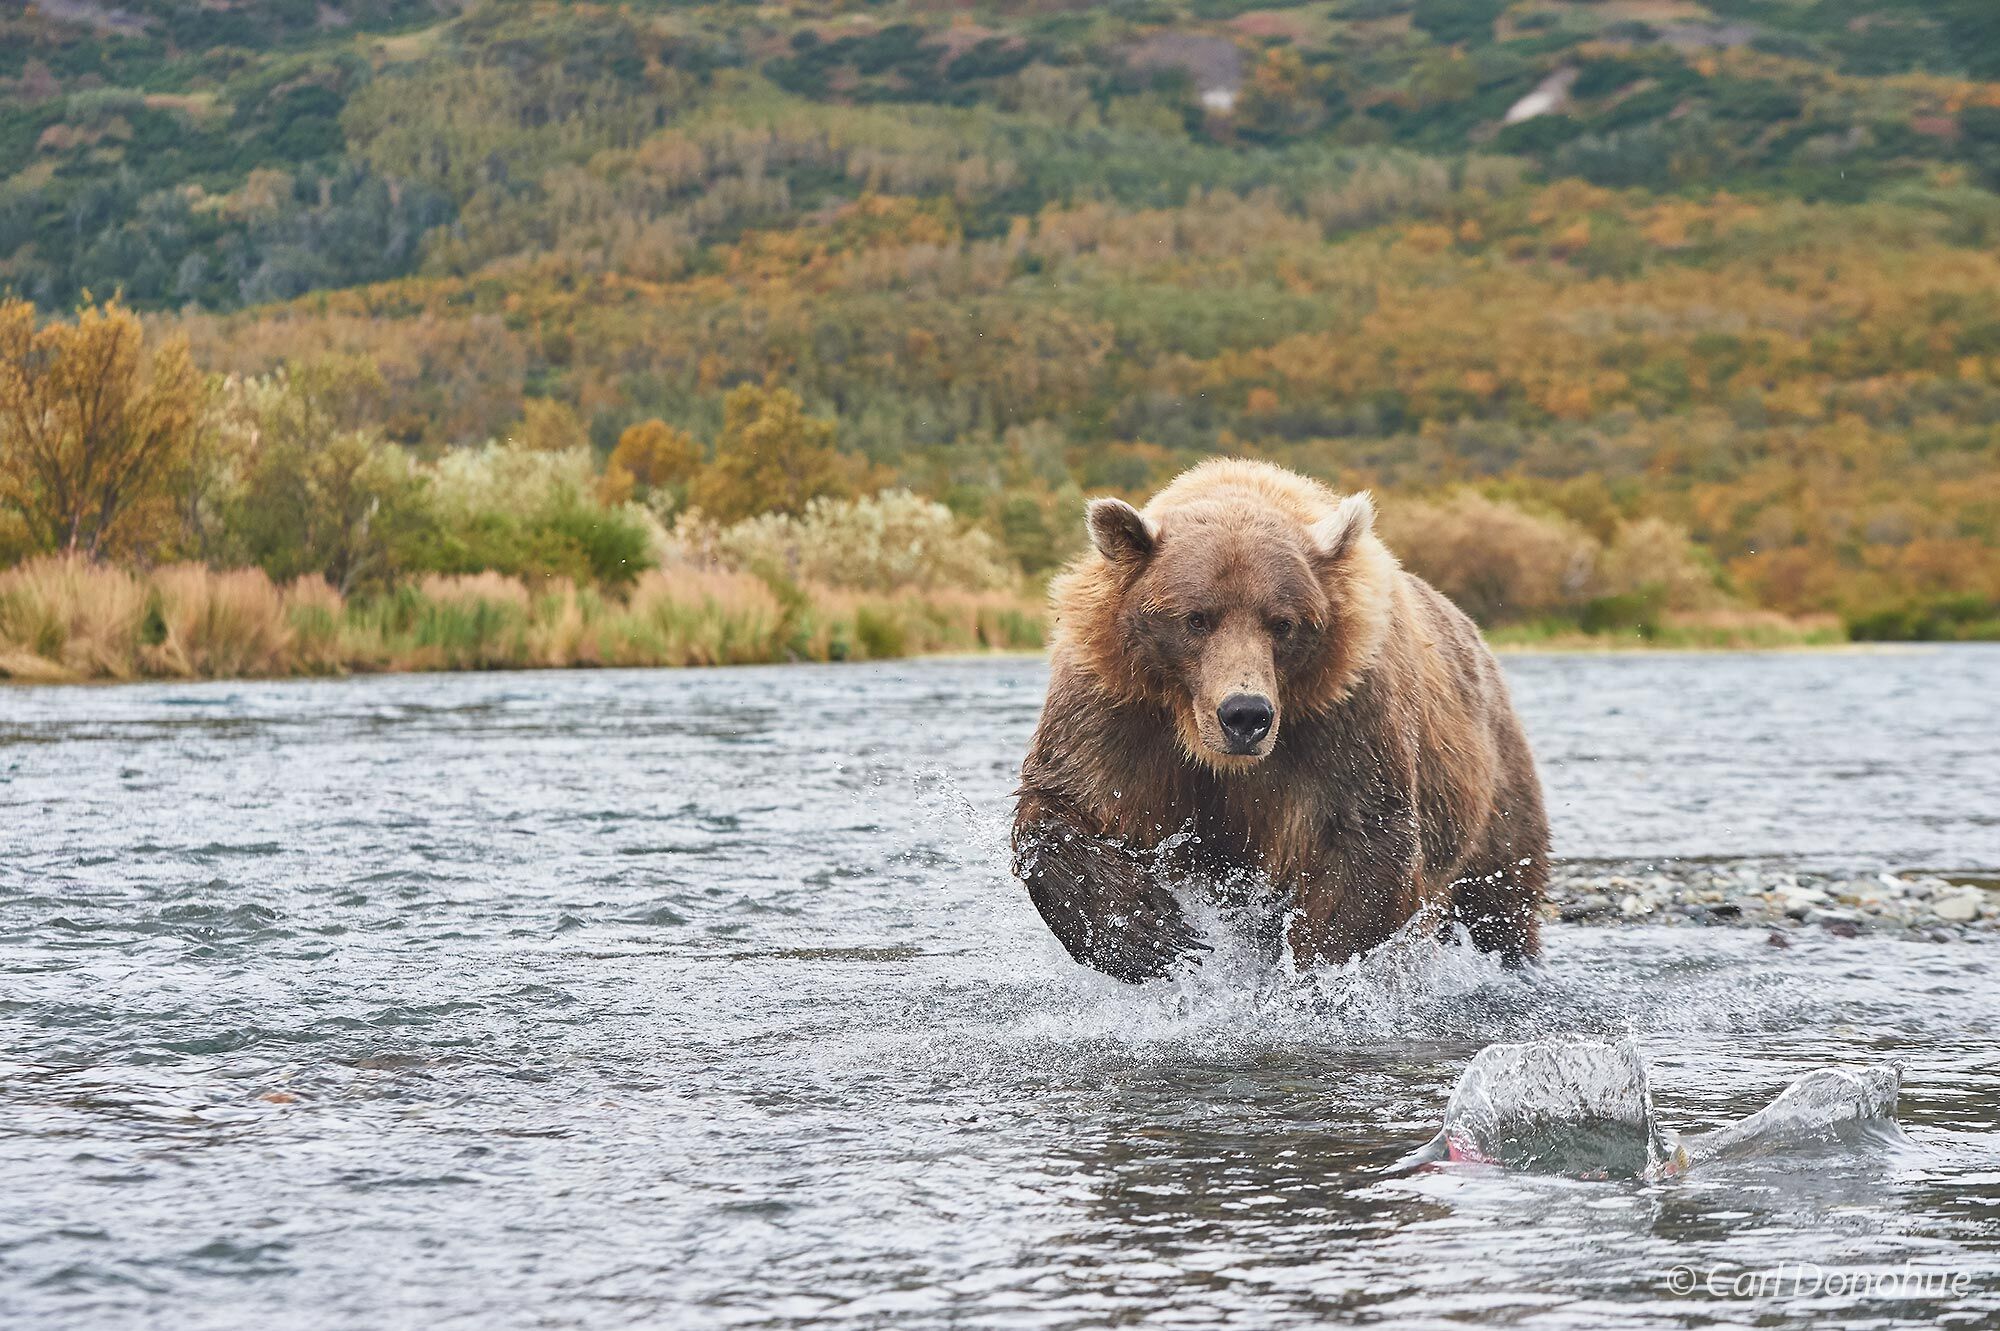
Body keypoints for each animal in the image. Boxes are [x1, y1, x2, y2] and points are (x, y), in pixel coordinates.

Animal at [1016, 461, 1544, 979]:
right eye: (1196, 618)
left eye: (1283, 623)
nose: (1245, 714)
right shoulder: (1118, 702)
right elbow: (1062, 803)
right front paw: (1151, 931)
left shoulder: (1344, 716)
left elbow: (1365, 837)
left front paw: (1314, 968)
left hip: (1492, 794)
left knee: (1503, 898)